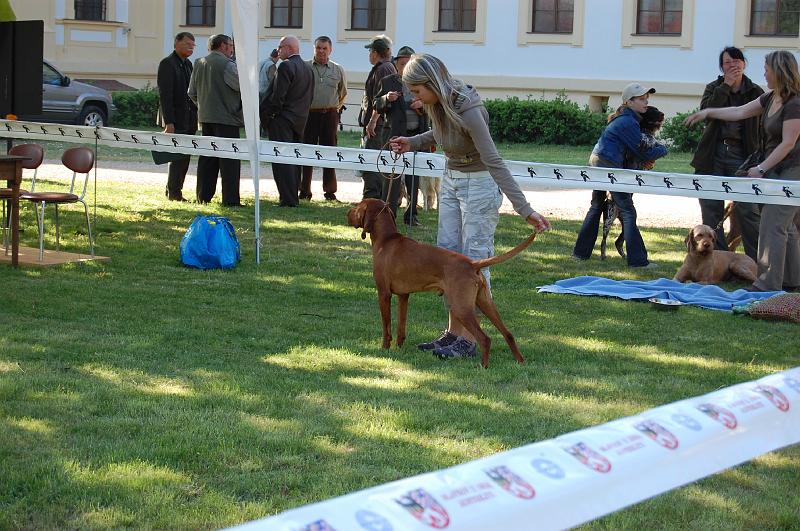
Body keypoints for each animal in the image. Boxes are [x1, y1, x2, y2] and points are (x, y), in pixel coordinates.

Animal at [346, 197, 536, 368]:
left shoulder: (384, 294)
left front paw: (385, 348)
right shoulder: (403, 296)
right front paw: (399, 347)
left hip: (461, 307)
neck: (386, 239)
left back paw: (484, 366)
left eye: (358, 207)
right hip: (485, 303)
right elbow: (401, 326)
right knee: (508, 333)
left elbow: (386, 328)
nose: (347, 213)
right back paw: (520, 361)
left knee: (485, 338)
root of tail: (472, 263)